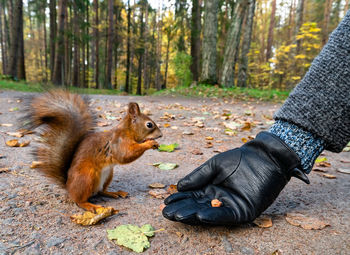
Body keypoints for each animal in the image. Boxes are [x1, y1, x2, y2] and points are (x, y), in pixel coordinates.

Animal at [25, 89, 162, 211]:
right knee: (79, 200)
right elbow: (125, 155)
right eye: (149, 125)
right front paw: (149, 143)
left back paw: (114, 193)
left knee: (101, 191)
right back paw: (90, 206)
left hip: (108, 175)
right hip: (86, 177)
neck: (127, 131)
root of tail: (68, 186)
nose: (161, 135)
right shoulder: (118, 143)